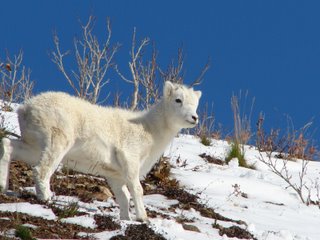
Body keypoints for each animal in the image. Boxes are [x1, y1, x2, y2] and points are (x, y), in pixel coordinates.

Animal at [0, 81, 201, 221]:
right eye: (178, 100)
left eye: (195, 104)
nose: (194, 117)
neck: (148, 130)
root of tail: (25, 109)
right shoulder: (130, 162)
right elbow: (136, 190)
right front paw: (143, 218)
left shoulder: (115, 176)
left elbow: (124, 197)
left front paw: (126, 219)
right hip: (57, 144)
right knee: (41, 170)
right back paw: (47, 198)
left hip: (33, 147)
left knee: (8, 146)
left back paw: (4, 187)